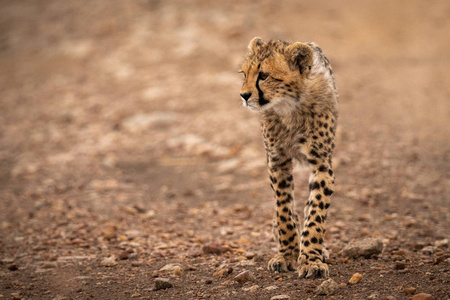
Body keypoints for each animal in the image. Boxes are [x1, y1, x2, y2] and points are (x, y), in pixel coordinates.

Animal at [239, 38, 338, 278]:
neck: (289, 105)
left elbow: (316, 211)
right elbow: (284, 211)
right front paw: (287, 255)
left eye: (263, 75)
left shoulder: (322, 164)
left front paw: (311, 259)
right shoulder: (277, 161)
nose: (244, 95)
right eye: (244, 74)